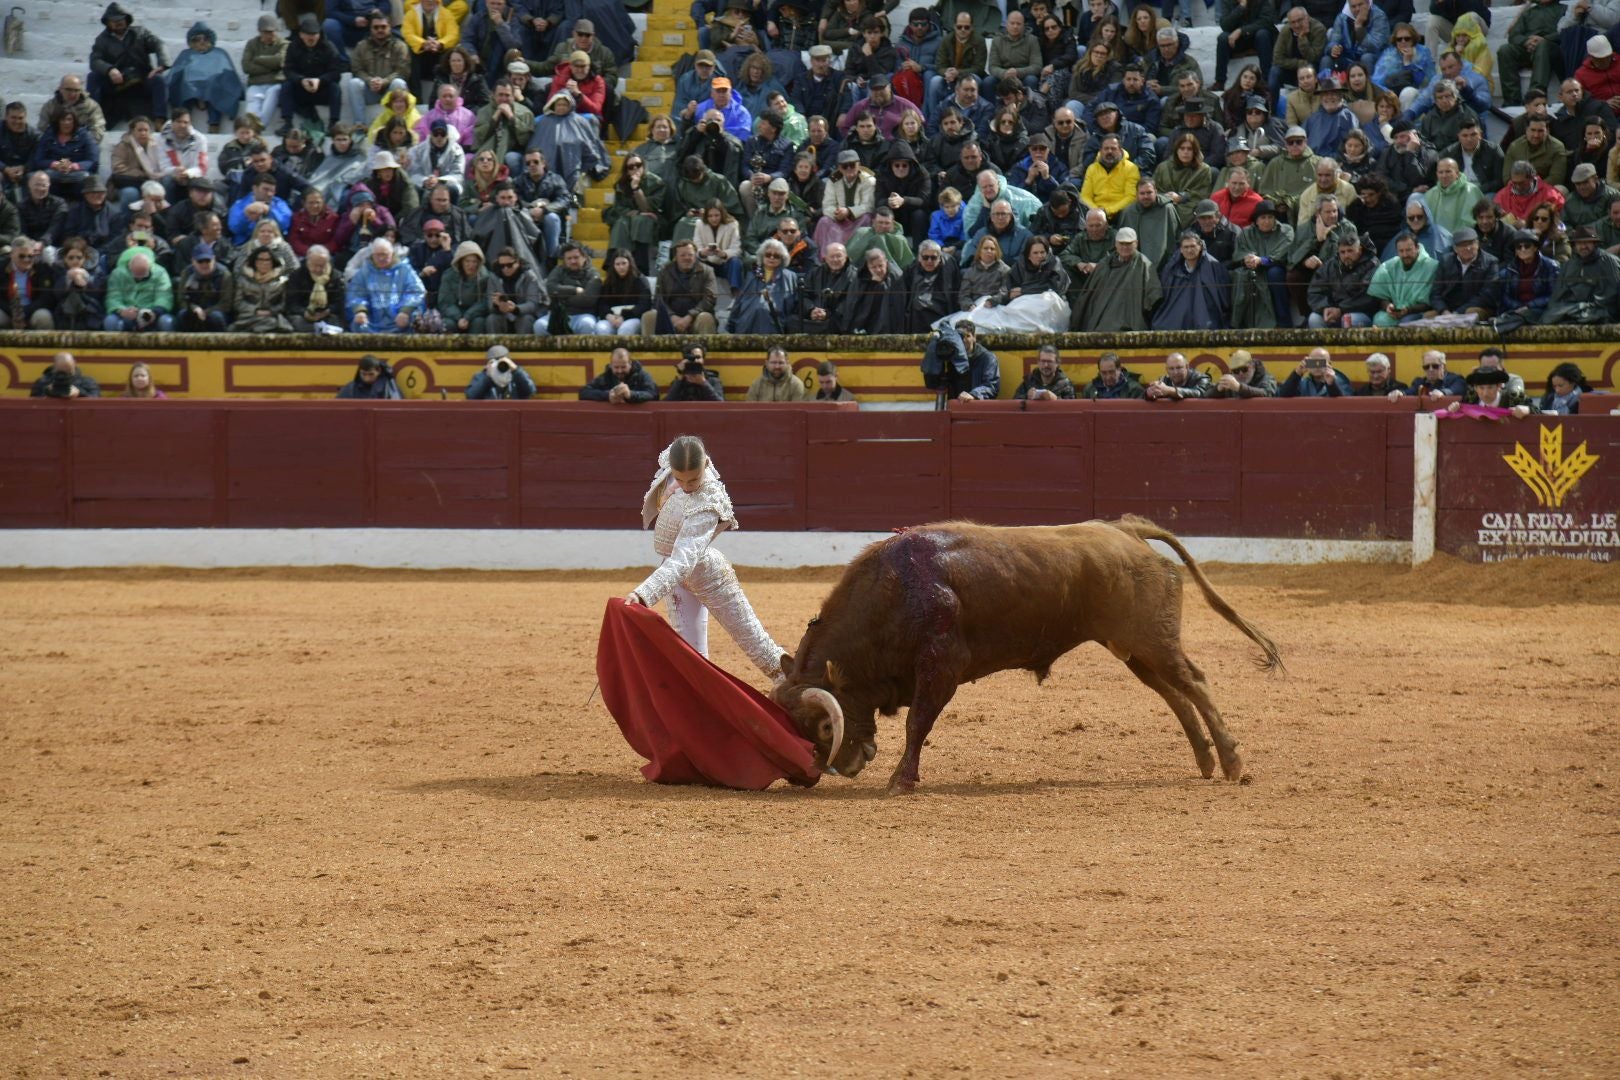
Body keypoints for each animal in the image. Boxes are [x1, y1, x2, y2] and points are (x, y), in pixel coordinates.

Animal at [771, 514, 1276, 793]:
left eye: (824, 725)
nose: (843, 767)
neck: (897, 589)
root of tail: (1125, 529)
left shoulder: (941, 667)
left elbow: (918, 723)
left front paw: (901, 781)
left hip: (1153, 639)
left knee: (1195, 683)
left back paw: (1232, 763)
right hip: (1133, 650)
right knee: (1173, 694)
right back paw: (1207, 761)